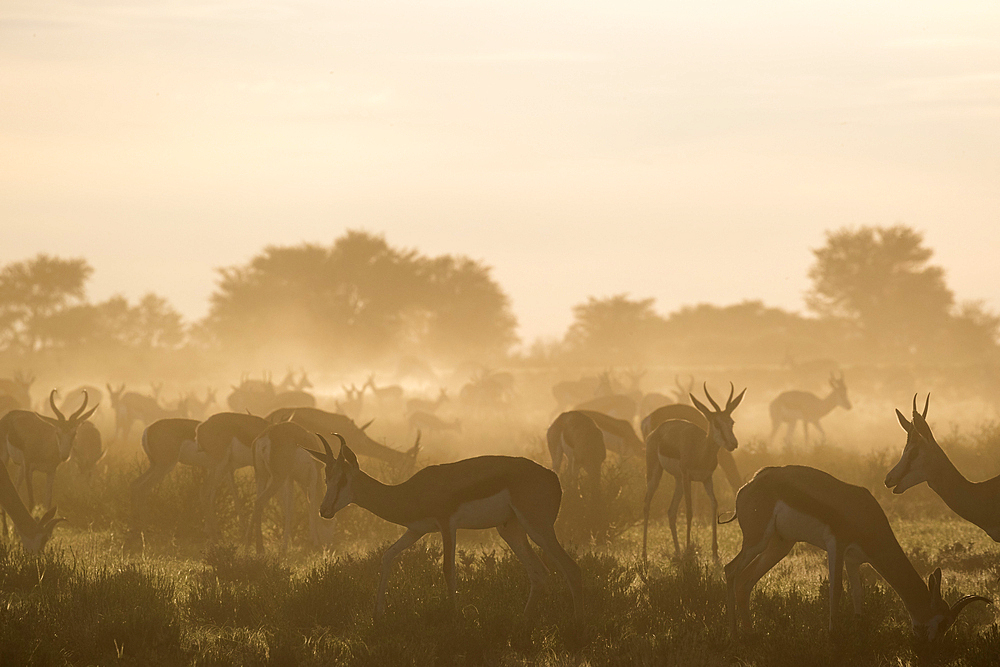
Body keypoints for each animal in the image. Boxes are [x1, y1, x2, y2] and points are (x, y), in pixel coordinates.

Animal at [308, 434, 584, 620]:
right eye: (326, 478)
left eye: (343, 479)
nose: (324, 511)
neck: (410, 492)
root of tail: (552, 477)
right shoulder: (416, 530)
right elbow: (387, 557)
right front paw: (378, 614)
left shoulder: (447, 525)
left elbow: (448, 569)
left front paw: (455, 618)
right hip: (511, 530)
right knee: (540, 574)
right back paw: (523, 624)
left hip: (538, 527)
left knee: (571, 568)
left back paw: (577, 628)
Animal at [644, 380, 748, 564]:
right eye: (716, 423)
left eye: (731, 422)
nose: (733, 444)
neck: (700, 450)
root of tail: (656, 430)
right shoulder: (688, 477)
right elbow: (690, 510)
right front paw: (689, 550)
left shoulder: (707, 478)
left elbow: (714, 504)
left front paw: (714, 553)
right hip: (656, 474)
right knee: (647, 505)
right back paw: (644, 555)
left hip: (678, 480)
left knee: (671, 511)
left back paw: (677, 552)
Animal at [724, 464, 988, 640]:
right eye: (942, 623)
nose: (932, 646)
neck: (865, 513)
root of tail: (749, 485)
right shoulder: (837, 545)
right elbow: (836, 589)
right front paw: (833, 636)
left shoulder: (854, 560)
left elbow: (857, 593)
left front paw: (859, 631)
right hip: (757, 542)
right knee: (730, 569)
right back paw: (734, 634)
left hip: (780, 546)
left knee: (745, 581)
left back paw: (750, 633)